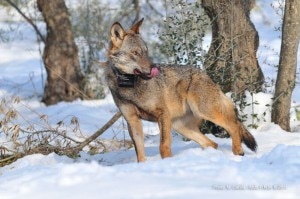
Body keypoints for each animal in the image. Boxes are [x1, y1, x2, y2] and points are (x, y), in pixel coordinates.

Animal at [104, 18, 256, 162]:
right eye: (135, 53)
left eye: (146, 52)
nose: (154, 68)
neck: (130, 87)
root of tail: (207, 76)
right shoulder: (132, 120)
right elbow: (140, 154)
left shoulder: (162, 114)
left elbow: (163, 146)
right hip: (180, 126)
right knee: (212, 143)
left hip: (204, 112)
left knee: (233, 126)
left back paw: (238, 152)